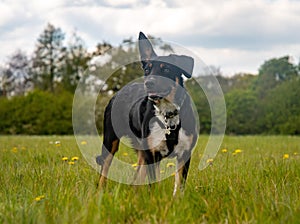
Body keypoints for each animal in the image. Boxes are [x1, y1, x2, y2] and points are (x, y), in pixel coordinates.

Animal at [96, 32, 198, 195]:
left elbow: (179, 186)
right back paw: (99, 193)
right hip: (110, 141)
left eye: (166, 69)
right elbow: (154, 184)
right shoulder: (152, 153)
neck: (167, 114)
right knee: (104, 171)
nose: (148, 83)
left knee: (136, 178)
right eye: (147, 70)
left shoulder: (185, 153)